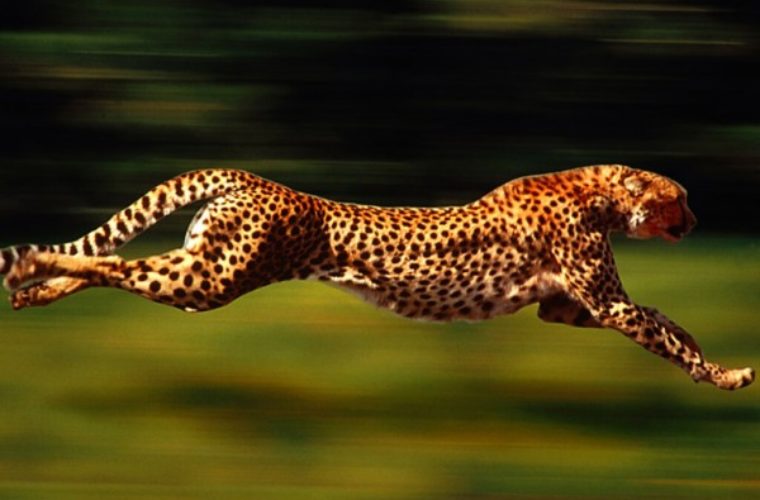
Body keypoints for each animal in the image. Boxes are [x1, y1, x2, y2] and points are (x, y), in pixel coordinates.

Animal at [0, 164, 754, 390]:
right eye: (680, 197)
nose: (695, 218)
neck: (598, 191)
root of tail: (250, 176)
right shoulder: (603, 304)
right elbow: (663, 332)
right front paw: (724, 375)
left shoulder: (566, 308)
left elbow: (666, 320)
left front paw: (714, 363)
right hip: (213, 280)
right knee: (114, 262)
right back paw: (33, 266)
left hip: (200, 272)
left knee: (117, 266)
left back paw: (35, 288)